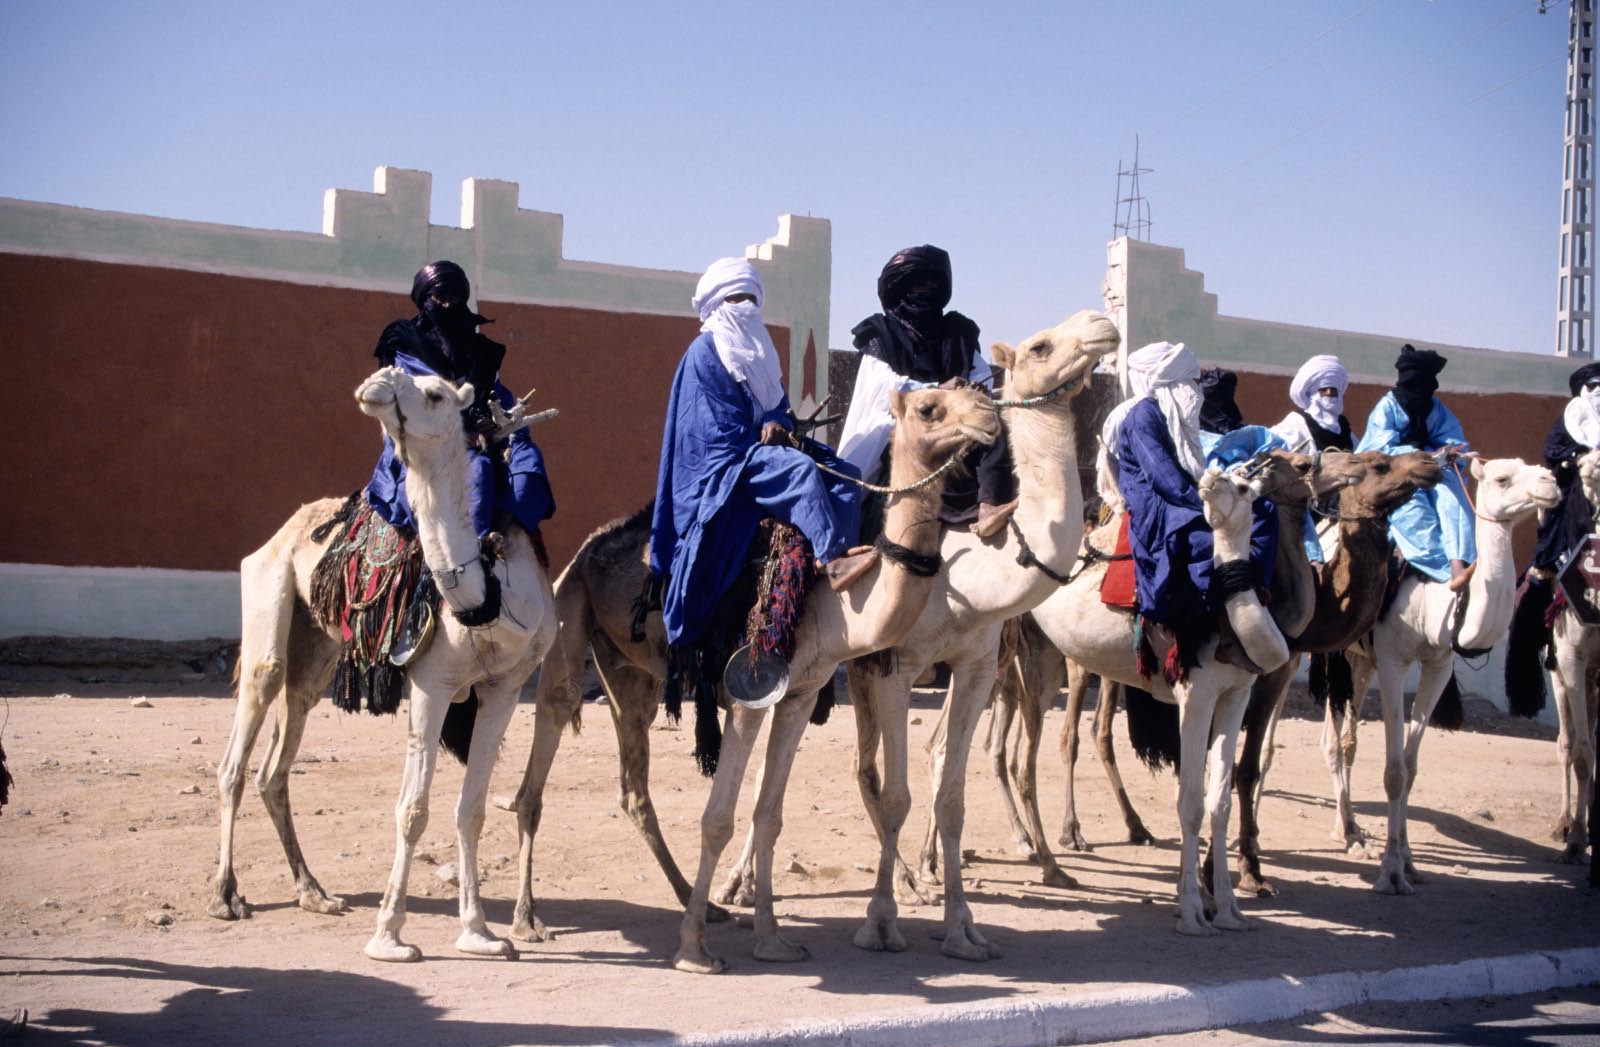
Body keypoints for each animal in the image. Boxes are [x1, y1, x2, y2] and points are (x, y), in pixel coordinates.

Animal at [210, 367, 557, 962]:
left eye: (436, 393)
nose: (378, 383)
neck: (484, 593)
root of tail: (287, 526)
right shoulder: (431, 684)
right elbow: (412, 810)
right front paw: (389, 936)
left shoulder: (505, 688)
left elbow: (471, 809)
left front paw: (479, 933)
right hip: (266, 601)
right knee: (241, 745)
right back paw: (227, 895)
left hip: (317, 653)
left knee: (276, 763)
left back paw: (314, 893)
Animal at [505, 383, 1003, 945]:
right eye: (928, 408)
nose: (989, 415)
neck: (833, 599)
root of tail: (588, 548)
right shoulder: (751, 689)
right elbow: (728, 812)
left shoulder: (801, 692)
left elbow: (770, 814)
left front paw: (768, 932)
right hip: (568, 606)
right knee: (545, 743)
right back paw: (526, 918)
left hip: (631, 676)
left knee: (634, 787)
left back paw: (693, 898)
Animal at [696, 310, 1121, 969]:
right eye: (1040, 345)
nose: (1102, 325)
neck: (966, 574)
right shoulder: (893, 665)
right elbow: (896, 792)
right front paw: (879, 922)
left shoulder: (976, 665)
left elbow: (949, 792)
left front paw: (962, 929)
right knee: (844, 769)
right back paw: (742, 885)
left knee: (849, 768)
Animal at [1330, 456, 1558, 894]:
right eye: (1503, 479)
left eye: (1534, 467)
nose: (1551, 483)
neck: (1434, 600)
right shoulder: (1393, 660)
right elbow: (1394, 771)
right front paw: (1390, 872)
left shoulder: (1438, 664)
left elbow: (1411, 767)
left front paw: (1409, 861)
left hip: (1358, 659)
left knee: (1344, 742)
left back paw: (1351, 830)